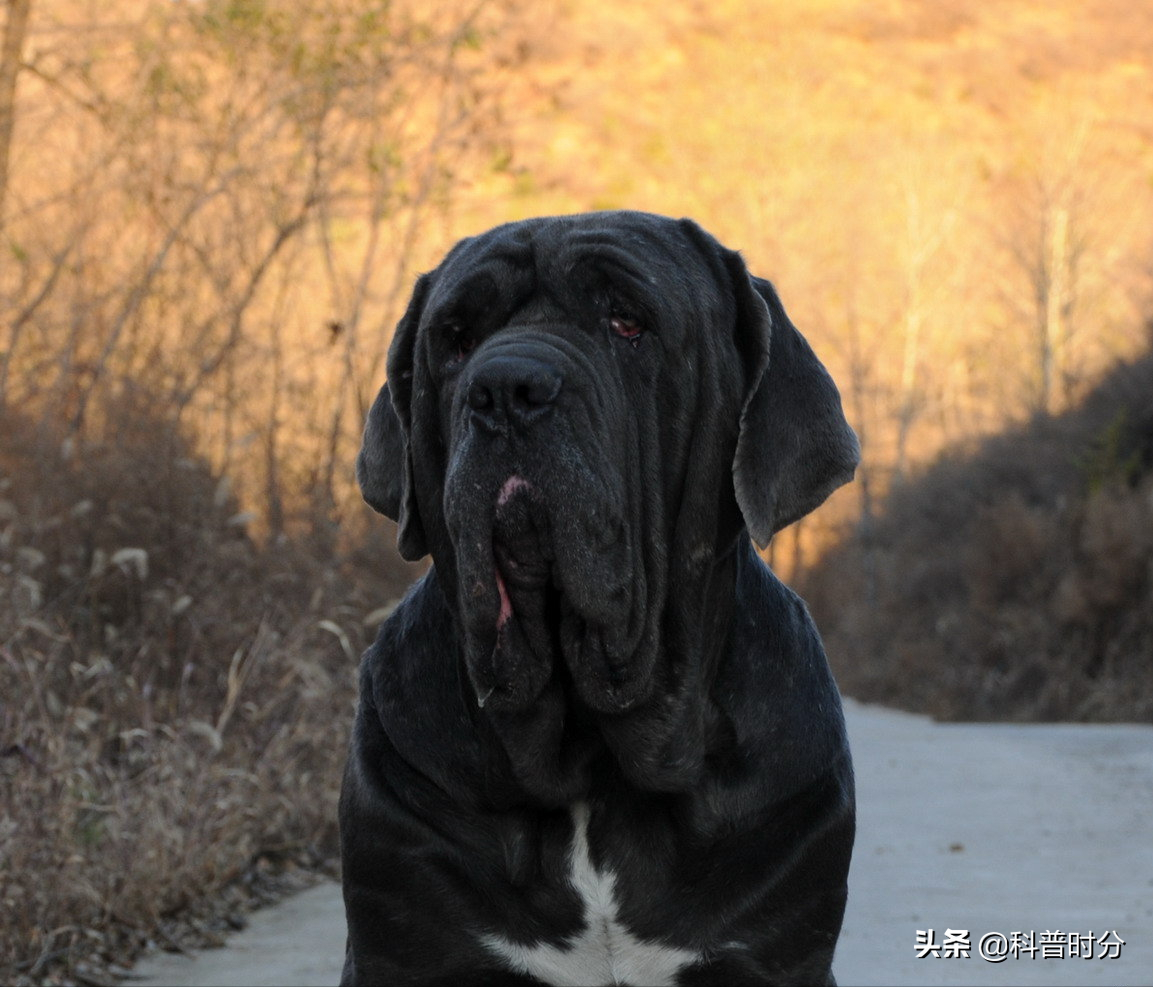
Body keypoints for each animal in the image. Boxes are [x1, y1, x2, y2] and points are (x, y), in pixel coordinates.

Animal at [338, 212, 857, 982]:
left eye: (626, 321)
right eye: (454, 339)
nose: (504, 387)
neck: (593, 766)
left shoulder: (777, 950)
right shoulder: (404, 948)